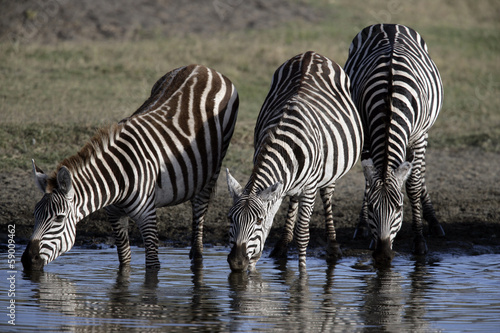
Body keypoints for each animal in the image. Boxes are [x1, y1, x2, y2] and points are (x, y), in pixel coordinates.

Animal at [20, 64, 238, 270]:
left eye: (59, 218)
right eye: (35, 214)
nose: (27, 260)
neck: (116, 178)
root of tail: (204, 68)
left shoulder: (147, 215)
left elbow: (152, 265)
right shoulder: (114, 214)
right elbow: (124, 260)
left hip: (212, 168)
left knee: (199, 209)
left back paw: (198, 255)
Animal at [227, 51, 364, 270]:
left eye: (258, 221)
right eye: (230, 218)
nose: (237, 262)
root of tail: (311, 54)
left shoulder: (309, 187)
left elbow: (303, 235)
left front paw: (302, 273)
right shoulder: (277, 185)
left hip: (330, 169)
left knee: (327, 195)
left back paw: (333, 247)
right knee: (293, 199)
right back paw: (282, 245)